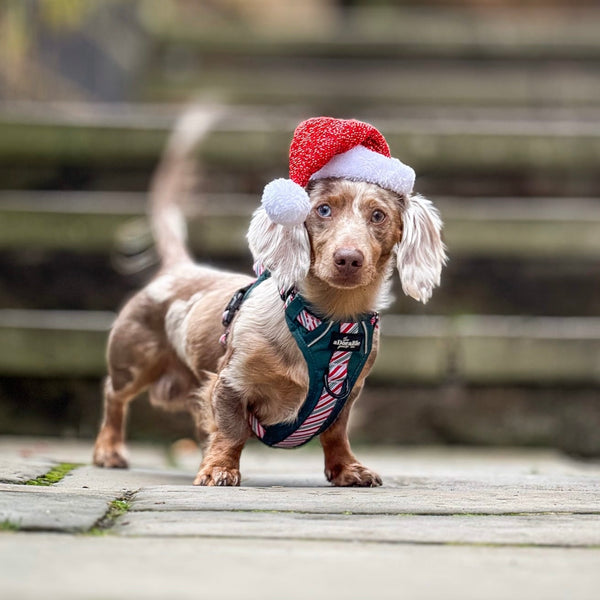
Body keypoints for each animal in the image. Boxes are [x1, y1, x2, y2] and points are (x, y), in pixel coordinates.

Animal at [94, 112, 446, 488]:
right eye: (323, 210)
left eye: (378, 215)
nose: (349, 259)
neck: (325, 321)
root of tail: (179, 268)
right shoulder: (230, 383)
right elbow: (231, 431)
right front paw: (219, 468)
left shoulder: (345, 397)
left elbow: (336, 434)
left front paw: (348, 469)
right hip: (134, 363)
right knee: (113, 395)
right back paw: (109, 450)